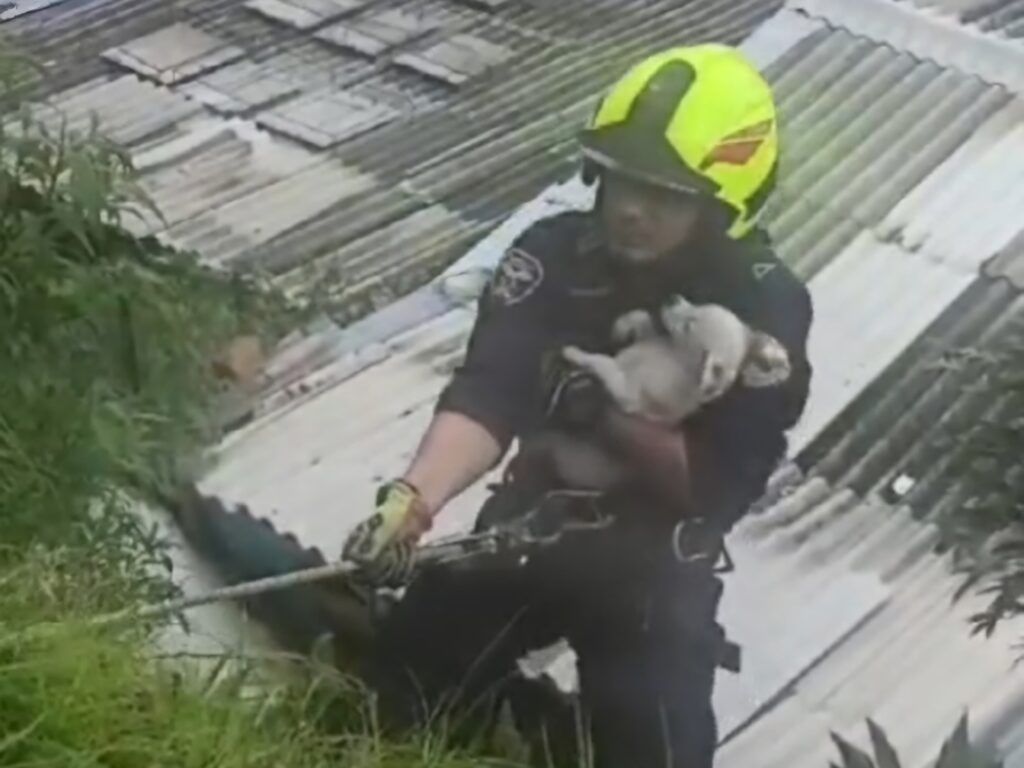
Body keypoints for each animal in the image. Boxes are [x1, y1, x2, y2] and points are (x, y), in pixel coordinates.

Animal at [520, 296, 790, 493]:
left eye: (689, 325)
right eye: (697, 304)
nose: (672, 298)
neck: (673, 356)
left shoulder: (627, 393)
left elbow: (604, 363)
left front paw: (577, 354)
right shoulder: (649, 341)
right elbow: (642, 319)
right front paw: (623, 325)